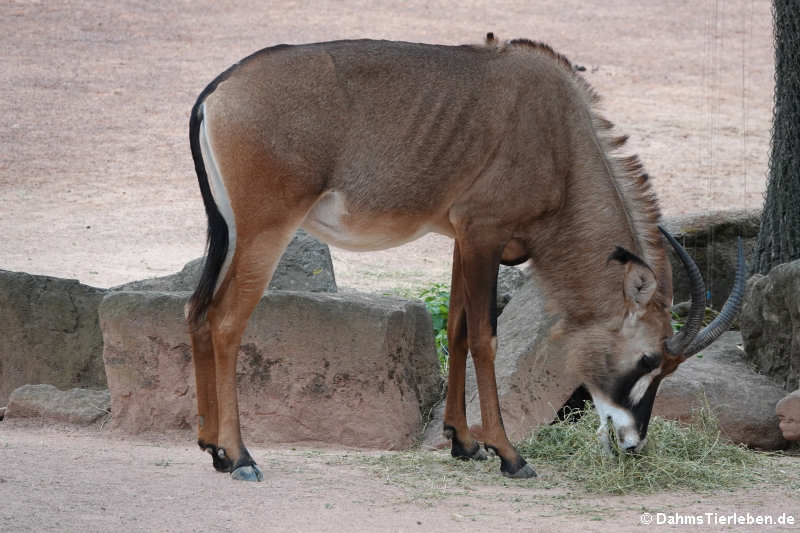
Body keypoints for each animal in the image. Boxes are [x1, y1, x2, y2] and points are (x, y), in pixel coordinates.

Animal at [184, 35, 748, 480]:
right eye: (649, 359)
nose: (632, 445)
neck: (559, 138)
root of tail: (219, 91)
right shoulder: (484, 235)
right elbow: (484, 338)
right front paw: (509, 454)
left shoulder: (460, 237)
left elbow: (455, 328)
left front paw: (463, 442)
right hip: (266, 230)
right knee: (226, 320)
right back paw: (241, 457)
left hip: (230, 233)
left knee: (197, 310)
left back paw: (213, 448)